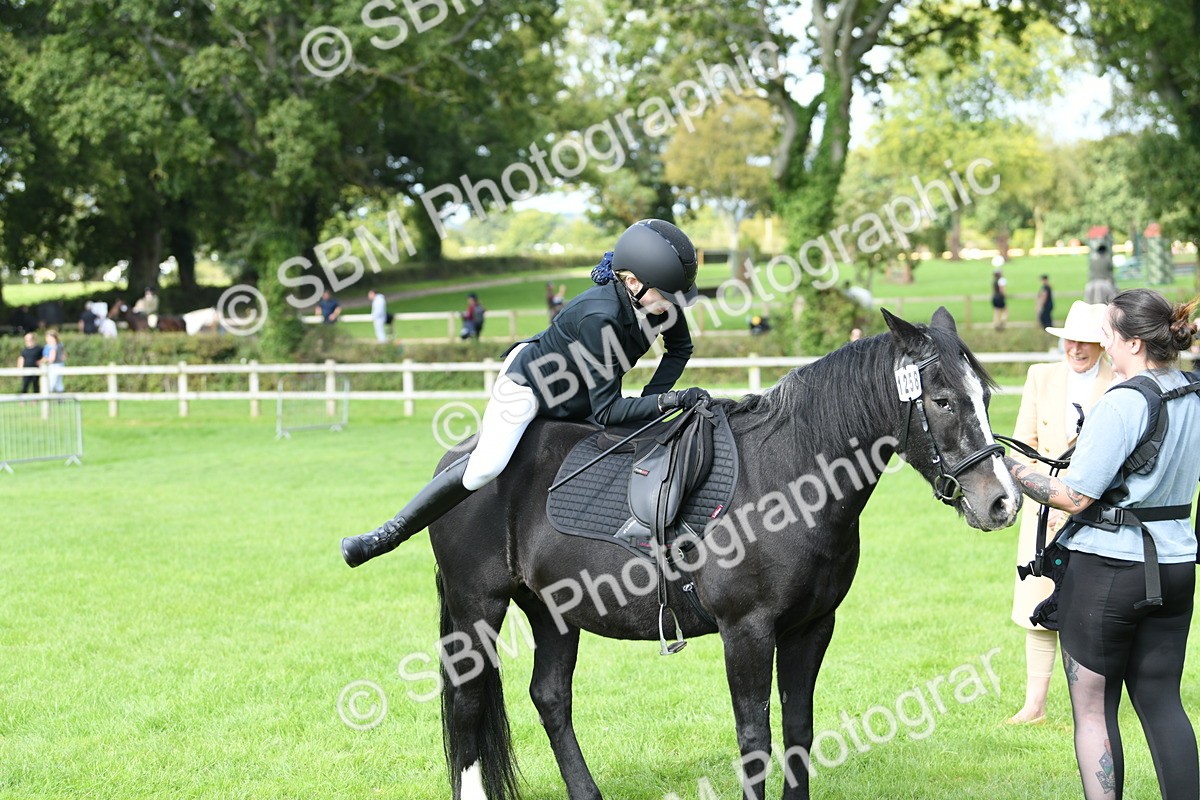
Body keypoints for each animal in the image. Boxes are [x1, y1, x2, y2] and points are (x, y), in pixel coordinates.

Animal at [409, 306, 1021, 800]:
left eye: (986, 397)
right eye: (942, 401)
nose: (1003, 501)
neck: (786, 479)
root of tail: (459, 461)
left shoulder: (811, 627)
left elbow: (798, 732)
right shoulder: (746, 631)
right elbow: (755, 741)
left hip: (552, 614)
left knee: (551, 698)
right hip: (477, 610)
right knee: (466, 706)